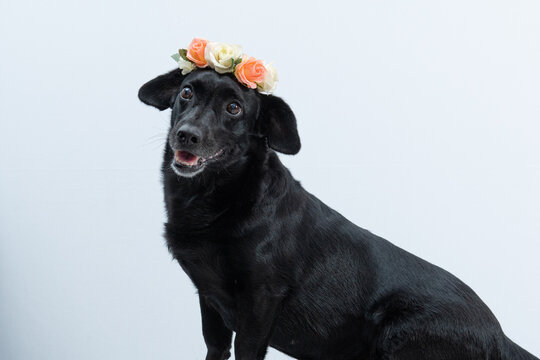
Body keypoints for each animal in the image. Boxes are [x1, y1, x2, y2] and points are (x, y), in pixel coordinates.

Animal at [138, 68, 536, 360]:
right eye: (186, 93)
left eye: (234, 108)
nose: (186, 135)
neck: (216, 197)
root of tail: (501, 337)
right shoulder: (210, 298)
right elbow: (215, 347)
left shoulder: (260, 300)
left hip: (399, 336)